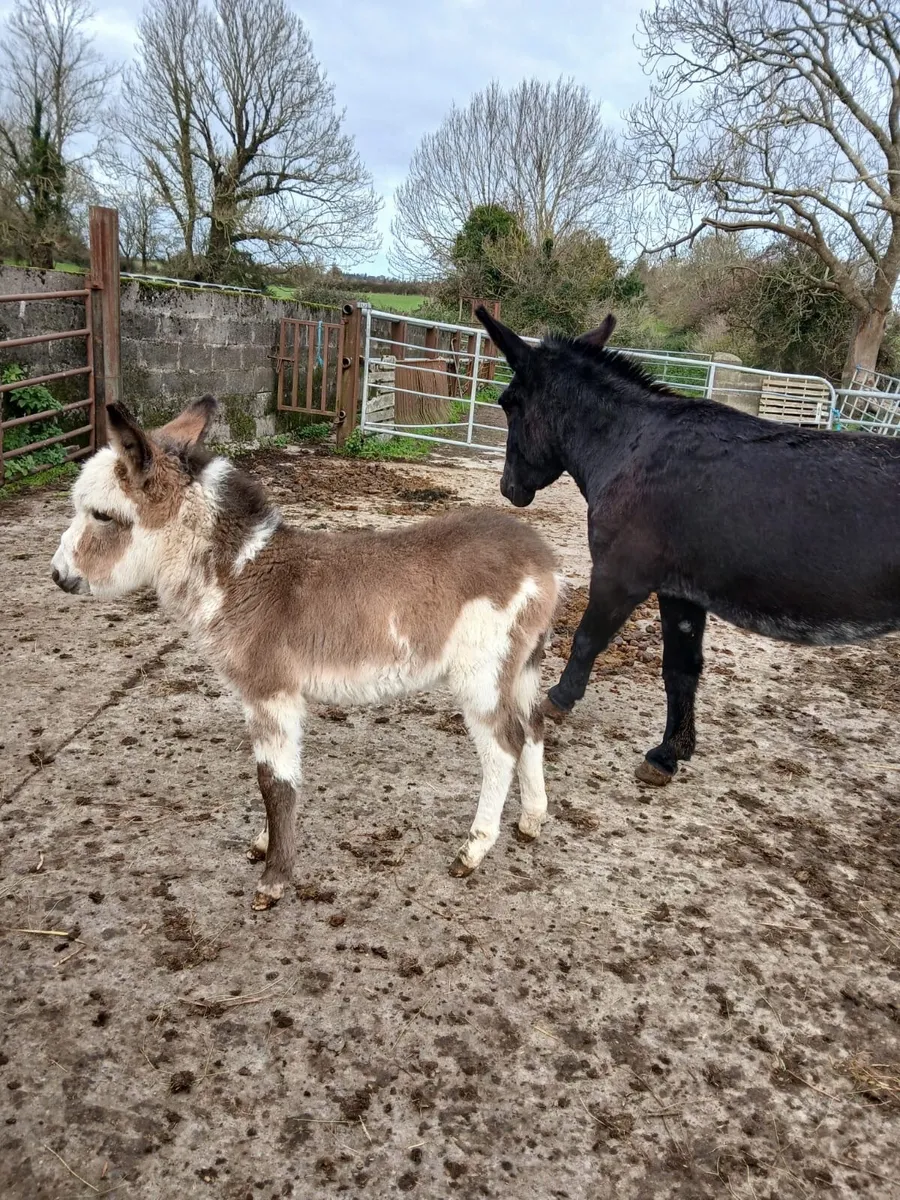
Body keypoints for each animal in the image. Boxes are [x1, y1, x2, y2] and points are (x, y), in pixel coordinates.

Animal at [51, 398, 561, 908]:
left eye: (101, 515)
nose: (57, 575)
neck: (241, 577)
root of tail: (543, 559)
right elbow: (281, 777)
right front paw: (266, 842)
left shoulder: (270, 691)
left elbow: (274, 782)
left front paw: (274, 879)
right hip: (521, 664)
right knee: (533, 726)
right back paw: (532, 819)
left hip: (481, 670)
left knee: (503, 745)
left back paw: (472, 852)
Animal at [475, 305, 900, 786]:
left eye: (508, 403)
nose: (510, 489)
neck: (633, 445)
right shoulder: (680, 593)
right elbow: (681, 669)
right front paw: (668, 753)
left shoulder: (619, 577)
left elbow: (587, 639)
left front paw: (558, 699)